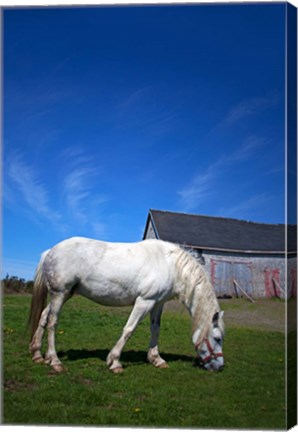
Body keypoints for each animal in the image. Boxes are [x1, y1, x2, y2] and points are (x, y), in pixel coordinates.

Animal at [29, 238, 225, 372]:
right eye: (217, 338)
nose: (220, 367)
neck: (170, 264)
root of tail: (50, 251)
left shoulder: (157, 303)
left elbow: (155, 329)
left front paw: (156, 359)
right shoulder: (144, 301)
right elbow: (129, 329)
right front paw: (114, 361)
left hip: (64, 294)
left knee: (44, 317)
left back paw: (38, 354)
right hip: (59, 293)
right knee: (52, 322)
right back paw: (55, 361)